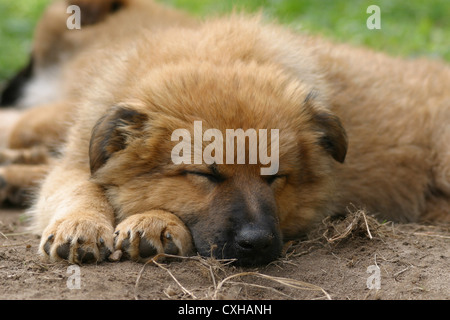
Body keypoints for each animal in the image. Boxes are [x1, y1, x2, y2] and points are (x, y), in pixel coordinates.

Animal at [1, 0, 448, 264]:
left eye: (275, 177)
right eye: (204, 175)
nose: (258, 244)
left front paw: (154, 222)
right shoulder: (79, 154)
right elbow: (76, 187)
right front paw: (81, 225)